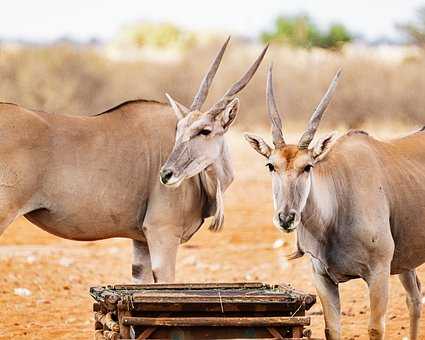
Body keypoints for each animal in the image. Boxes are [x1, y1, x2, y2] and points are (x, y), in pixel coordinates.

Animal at [243, 65, 424, 338]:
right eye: (271, 165)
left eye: (307, 166)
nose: (286, 218)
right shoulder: (322, 278)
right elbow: (332, 329)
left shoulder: (378, 273)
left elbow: (375, 329)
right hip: (406, 262)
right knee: (414, 298)